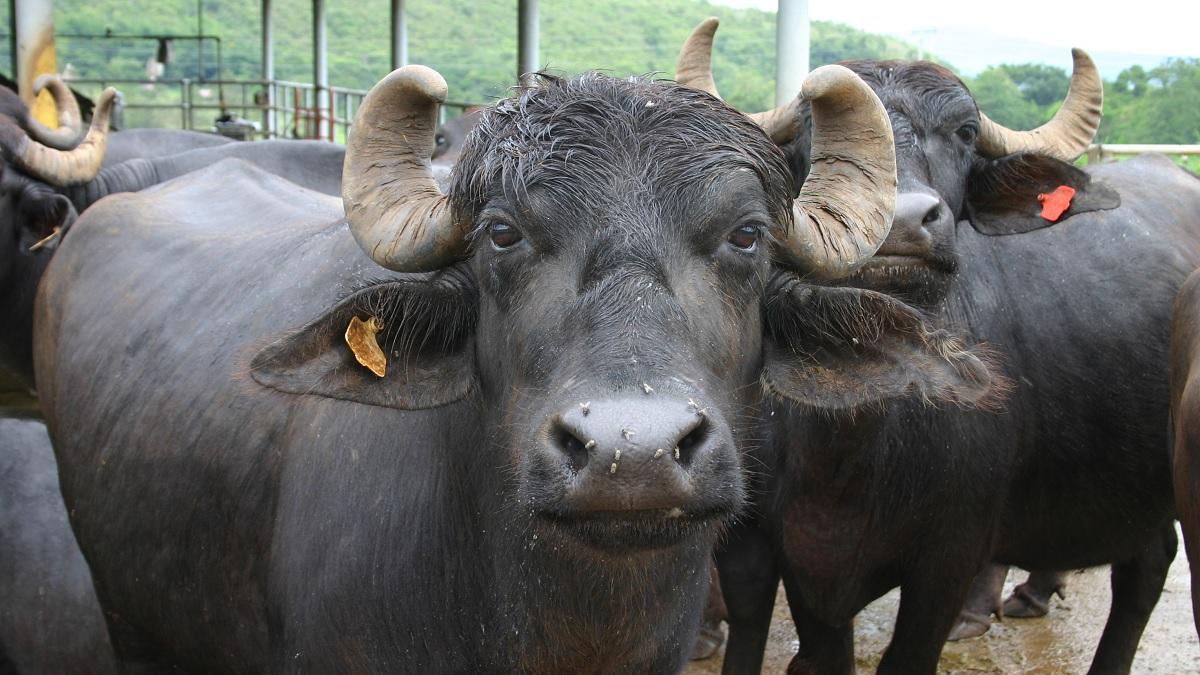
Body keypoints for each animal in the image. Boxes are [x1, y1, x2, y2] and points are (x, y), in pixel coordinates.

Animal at [679, 19, 1200, 674]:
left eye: (965, 132)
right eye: (811, 134)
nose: (901, 223)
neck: (850, 442)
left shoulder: (949, 558)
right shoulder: (795, 564)